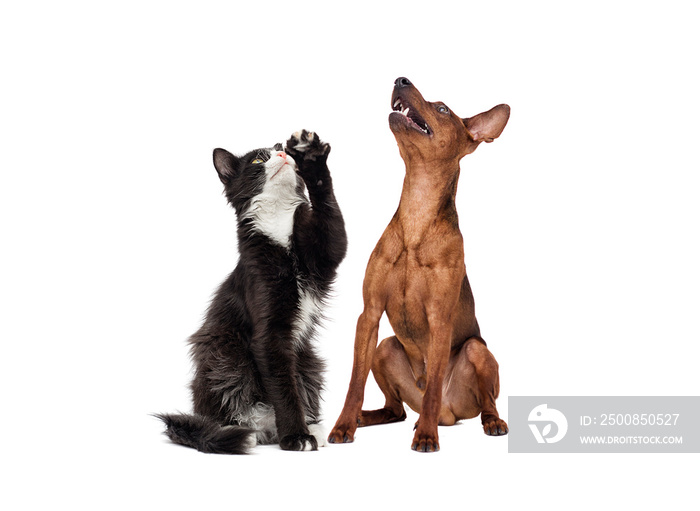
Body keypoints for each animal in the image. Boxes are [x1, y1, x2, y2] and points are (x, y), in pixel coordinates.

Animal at [157, 130, 348, 454]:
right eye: (259, 160)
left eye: (281, 149)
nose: (283, 155)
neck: (279, 226)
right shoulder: (269, 334)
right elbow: (284, 388)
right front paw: (295, 436)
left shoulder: (325, 252)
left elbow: (332, 221)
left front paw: (311, 157)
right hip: (226, 357)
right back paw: (242, 431)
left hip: (308, 361)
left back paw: (311, 427)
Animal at [328, 76, 508, 452]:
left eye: (443, 109)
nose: (401, 79)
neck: (417, 215)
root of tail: (450, 416)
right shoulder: (369, 315)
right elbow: (354, 384)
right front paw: (343, 425)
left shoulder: (440, 320)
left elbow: (434, 385)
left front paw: (426, 436)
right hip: (384, 348)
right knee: (396, 409)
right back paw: (365, 417)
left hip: (477, 352)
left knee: (479, 399)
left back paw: (486, 422)